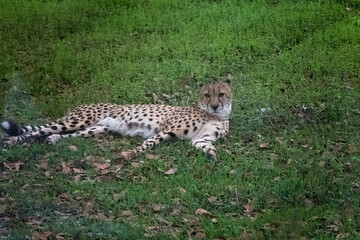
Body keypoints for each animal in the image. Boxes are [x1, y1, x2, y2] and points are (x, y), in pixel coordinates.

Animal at [1, 79, 232, 160]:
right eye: (207, 95)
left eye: (221, 94)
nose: (214, 105)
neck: (215, 115)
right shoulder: (165, 130)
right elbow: (148, 144)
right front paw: (128, 154)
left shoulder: (200, 138)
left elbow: (207, 146)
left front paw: (212, 155)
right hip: (78, 120)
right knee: (35, 131)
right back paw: (10, 141)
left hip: (96, 128)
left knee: (66, 134)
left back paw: (53, 139)